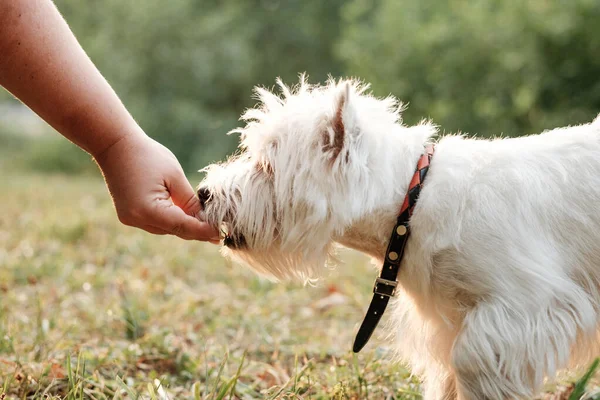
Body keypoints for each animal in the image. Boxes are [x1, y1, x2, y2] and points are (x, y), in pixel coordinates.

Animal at [198, 78, 600, 400]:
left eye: (267, 166)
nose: (204, 193)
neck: (412, 204)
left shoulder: (526, 302)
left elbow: (470, 360)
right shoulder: (449, 321)